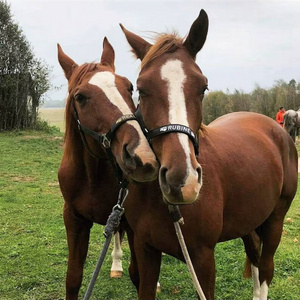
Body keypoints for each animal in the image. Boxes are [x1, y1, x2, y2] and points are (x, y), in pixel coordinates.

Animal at [57, 37, 158, 300]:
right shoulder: (74, 219)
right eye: (80, 97)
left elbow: (138, 275)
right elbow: (73, 278)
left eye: (129, 87)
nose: (141, 156)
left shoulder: (132, 225)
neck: (91, 177)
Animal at [119, 9, 298, 300]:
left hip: (276, 220)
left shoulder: (203, 259)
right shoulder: (145, 250)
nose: (182, 180)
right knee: (255, 257)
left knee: (266, 269)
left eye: (202, 88)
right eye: (141, 89)